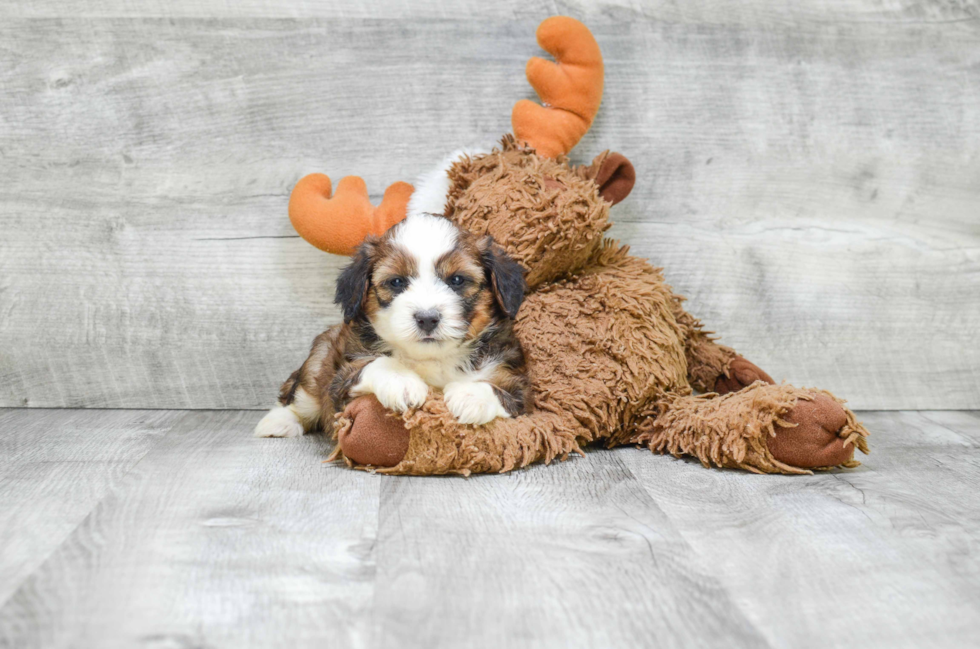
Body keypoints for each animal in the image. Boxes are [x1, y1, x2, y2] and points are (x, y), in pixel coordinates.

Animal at [253, 213, 528, 440]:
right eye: (396, 282)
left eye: (457, 280)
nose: (427, 318)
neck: (432, 359)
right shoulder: (340, 383)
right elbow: (377, 364)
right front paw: (402, 382)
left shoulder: (516, 381)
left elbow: (503, 392)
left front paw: (470, 396)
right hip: (319, 357)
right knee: (301, 396)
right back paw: (277, 422)